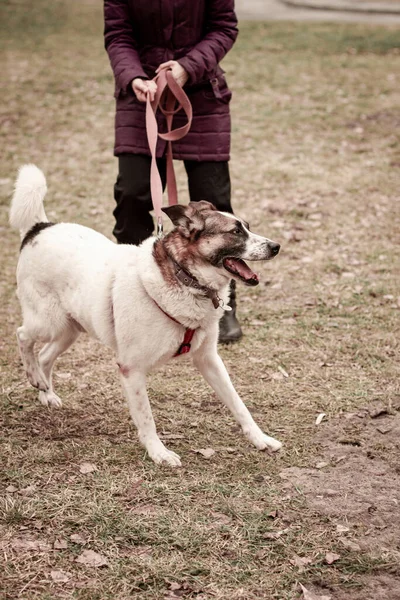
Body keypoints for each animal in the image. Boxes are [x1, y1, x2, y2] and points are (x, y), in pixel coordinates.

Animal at [10, 165, 282, 468]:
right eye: (235, 232)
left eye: (247, 226)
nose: (276, 246)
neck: (184, 279)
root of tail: (39, 227)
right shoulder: (131, 368)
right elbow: (146, 417)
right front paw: (158, 452)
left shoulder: (209, 359)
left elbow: (238, 404)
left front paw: (260, 438)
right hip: (48, 321)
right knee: (23, 336)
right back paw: (34, 376)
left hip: (70, 329)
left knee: (45, 356)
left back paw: (46, 391)